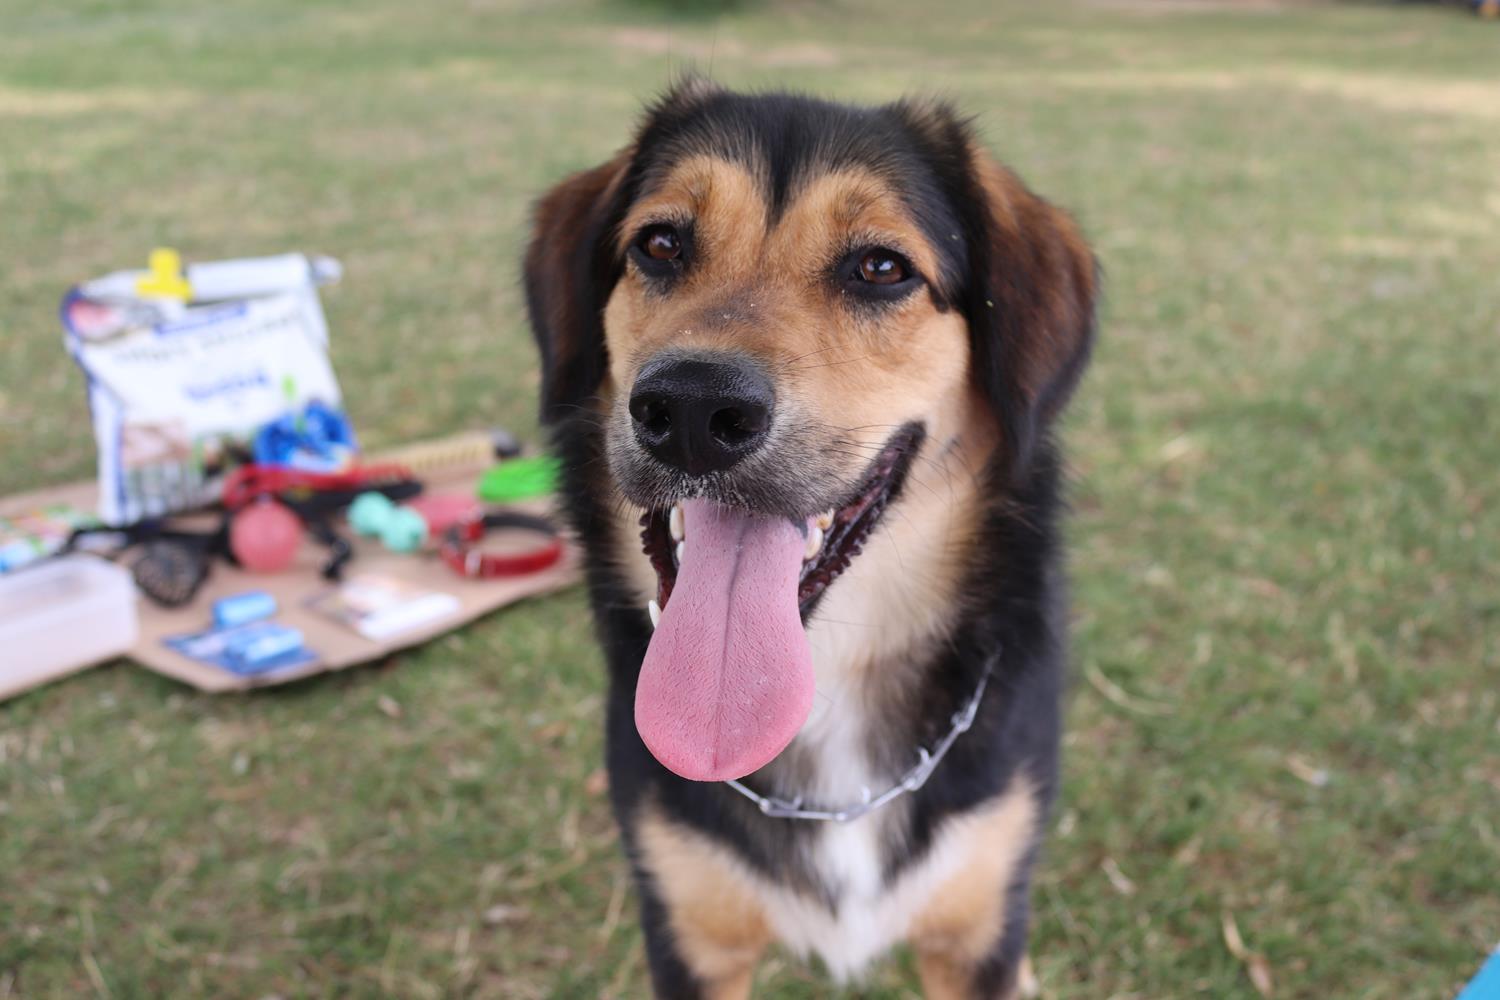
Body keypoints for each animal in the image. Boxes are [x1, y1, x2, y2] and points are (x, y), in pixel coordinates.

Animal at [524, 78, 1097, 999]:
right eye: (660, 244)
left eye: (882, 268)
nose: (693, 410)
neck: (825, 682)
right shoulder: (690, 934)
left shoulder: (975, 929)